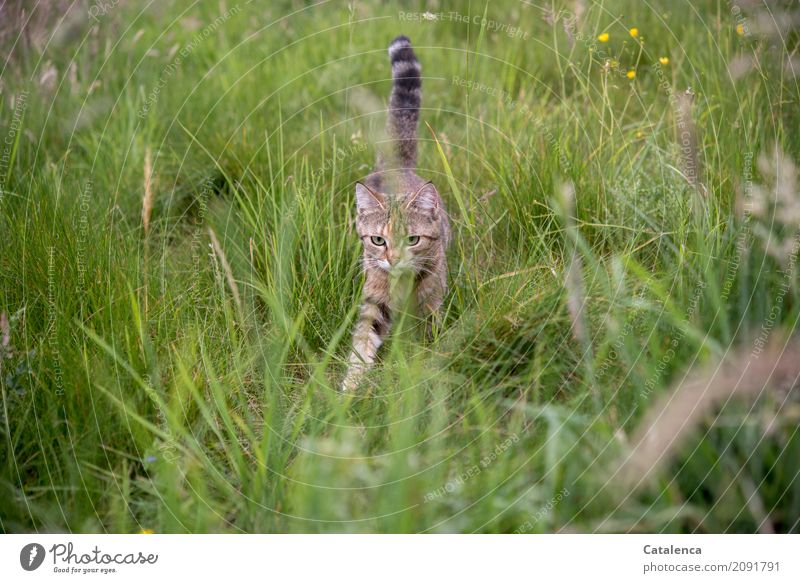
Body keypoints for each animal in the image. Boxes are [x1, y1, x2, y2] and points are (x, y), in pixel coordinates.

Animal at [340, 35, 446, 392]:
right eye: (378, 240)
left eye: (413, 240)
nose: (394, 259)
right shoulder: (374, 298)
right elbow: (363, 338)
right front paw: (350, 385)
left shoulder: (432, 299)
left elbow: (430, 339)